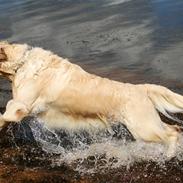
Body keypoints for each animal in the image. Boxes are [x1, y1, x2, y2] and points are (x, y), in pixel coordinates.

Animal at [0, 41, 183, 156]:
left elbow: (8, 110)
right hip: (148, 125)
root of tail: (142, 88)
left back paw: (168, 156)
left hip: (144, 129)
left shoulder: (22, 105)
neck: (21, 62)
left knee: (173, 134)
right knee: (175, 129)